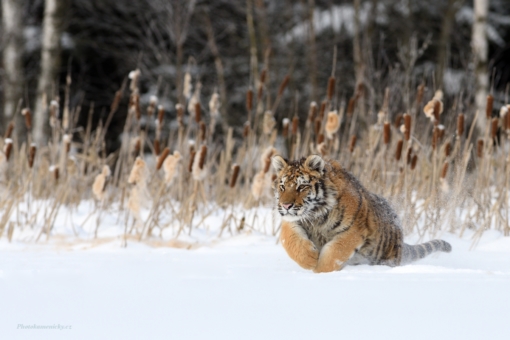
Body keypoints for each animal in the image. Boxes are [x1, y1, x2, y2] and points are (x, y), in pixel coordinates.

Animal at [270, 154, 450, 274]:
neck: (316, 216)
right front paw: (310, 259)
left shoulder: (353, 231)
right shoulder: (292, 221)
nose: (286, 205)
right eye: (282, 187)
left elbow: (335, 252)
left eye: (301, 187)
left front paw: (320, 272)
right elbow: (290, 240)